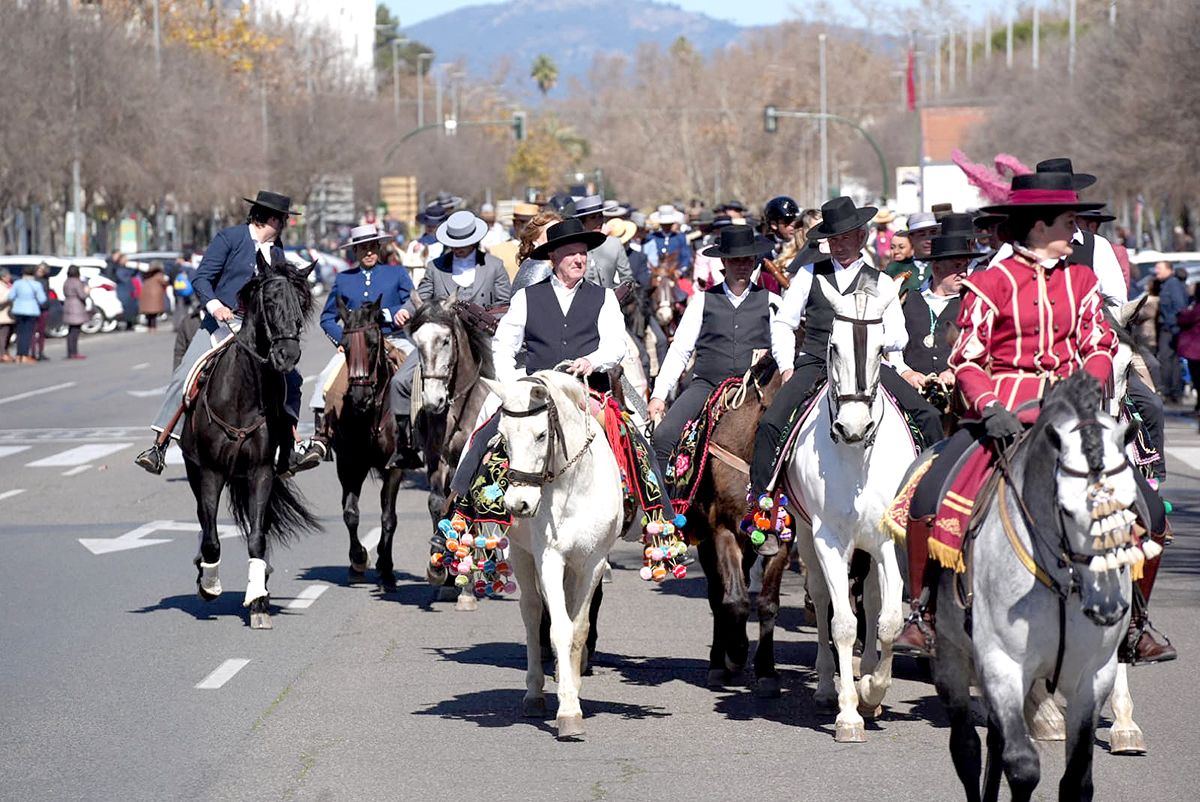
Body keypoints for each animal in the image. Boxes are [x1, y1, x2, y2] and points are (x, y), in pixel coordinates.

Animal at [180, 253, 321, 629]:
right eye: (270, 300)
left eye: (301, 302)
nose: (287, 356)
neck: (241, 396)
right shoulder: (211, 472)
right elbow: (212, 538)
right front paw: (209, 585)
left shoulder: (261, 472)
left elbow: (257, 537)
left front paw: (258, 600)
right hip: (196, 472)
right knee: (204, 523)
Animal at [328, 298, 408, 588]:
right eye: (345, 344)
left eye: (373, 343)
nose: (360, 396)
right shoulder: (349, 465)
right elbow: (350, 513)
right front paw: (359, 558)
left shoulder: (394, 468)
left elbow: (389, 517)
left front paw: (387, 568)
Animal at [480, 369, 624, 739]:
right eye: (503, 436)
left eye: (541, 434)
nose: (518, 504)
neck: (574, 486)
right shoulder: (549, 558)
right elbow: (558, 627)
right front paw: (568, 710)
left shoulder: (593, 563)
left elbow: (578, 629)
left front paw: (572, 690)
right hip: (521, 554)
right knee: (532, 614)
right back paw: (535, 693)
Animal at [782, 278, 912, 744]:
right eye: (833, 346)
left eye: (881, 348)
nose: (853, 427)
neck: (857, 458)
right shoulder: (828, 539)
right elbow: (842, 623)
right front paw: (849, 714)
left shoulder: (888, 540)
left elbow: (888, 620)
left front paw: (872, 691)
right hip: (806, 537)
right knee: (822, 599)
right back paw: (826, 686)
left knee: (871, 599)